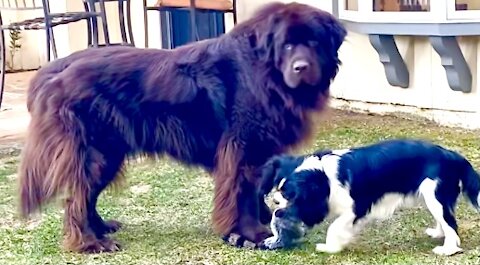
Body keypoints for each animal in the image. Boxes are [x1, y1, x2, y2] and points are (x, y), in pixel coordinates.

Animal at [17, 1, 344, 252]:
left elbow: (254, 190)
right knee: (76, 199)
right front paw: (252, 233)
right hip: (94, 153)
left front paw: (261, 221)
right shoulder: (242, 148)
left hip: (109, 153)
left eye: (313, 43)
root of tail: (55, 69)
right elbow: (243, 193)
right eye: (286, 45)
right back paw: (90, 243)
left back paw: (101, 227)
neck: (265, 73)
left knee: (86, 195)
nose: (301, 67)